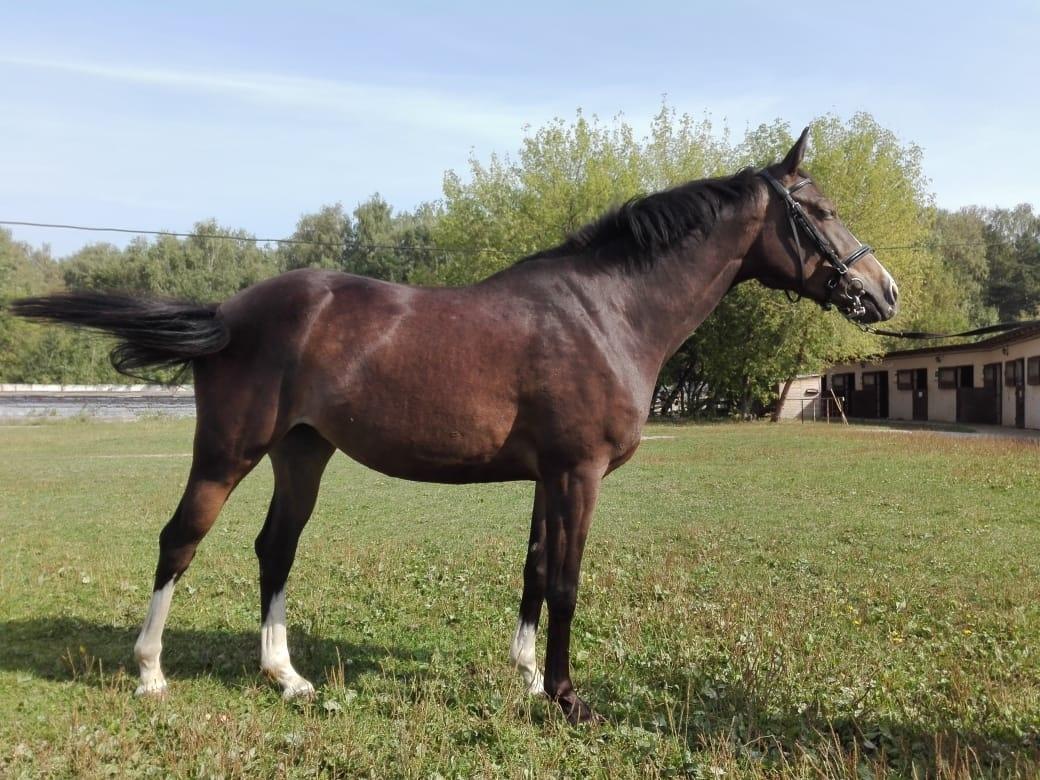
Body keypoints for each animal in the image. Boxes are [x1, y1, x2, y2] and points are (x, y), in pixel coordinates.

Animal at [10, 130, 894, 728]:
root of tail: (231, 308)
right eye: (820, 211)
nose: (882, 293)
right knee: (180, 540)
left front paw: (529, 677)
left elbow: (535, 572)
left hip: (303, 451)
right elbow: (566, 582)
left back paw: (285, 677)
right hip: (230, 450)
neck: (606, 310)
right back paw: (150, 673)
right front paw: (567, 698)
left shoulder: (549, 476)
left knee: (275, 548)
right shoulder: (577, 472)